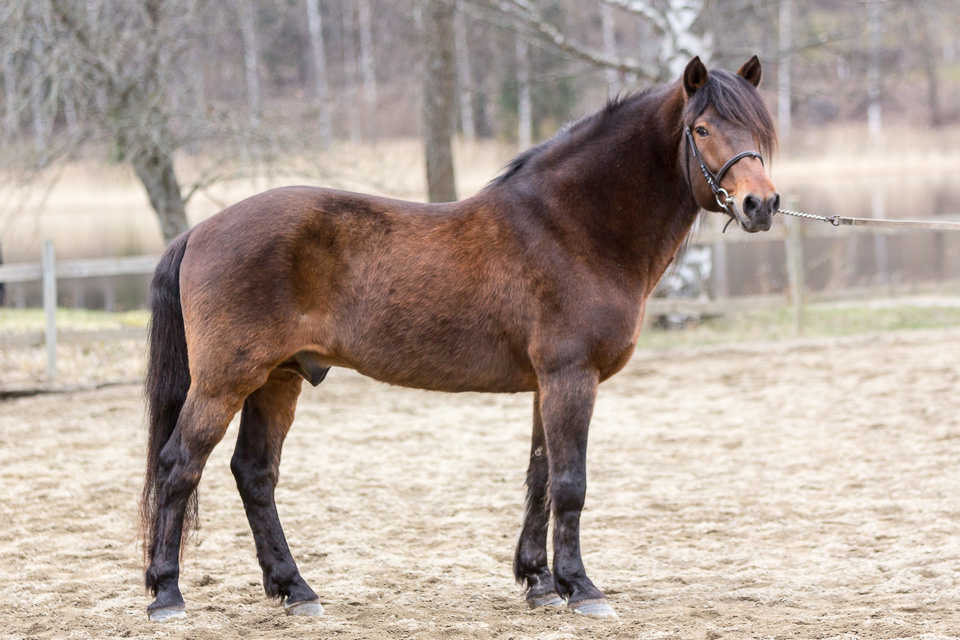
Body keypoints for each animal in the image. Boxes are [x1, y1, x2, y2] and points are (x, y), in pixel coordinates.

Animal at [139, 55, 779, 622]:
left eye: (759, 128)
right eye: (702, 128)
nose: (762, 204)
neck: (572, 227)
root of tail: (200, 231)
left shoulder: (546, 385)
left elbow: (541, 478)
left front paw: (539, 583)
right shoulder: (571, 376)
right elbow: (570, 482)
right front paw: (581, 587)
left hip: (278, 379)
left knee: (254, 475)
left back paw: (295, 590)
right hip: (225, 382)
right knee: (179, 465)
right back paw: (167, 594)